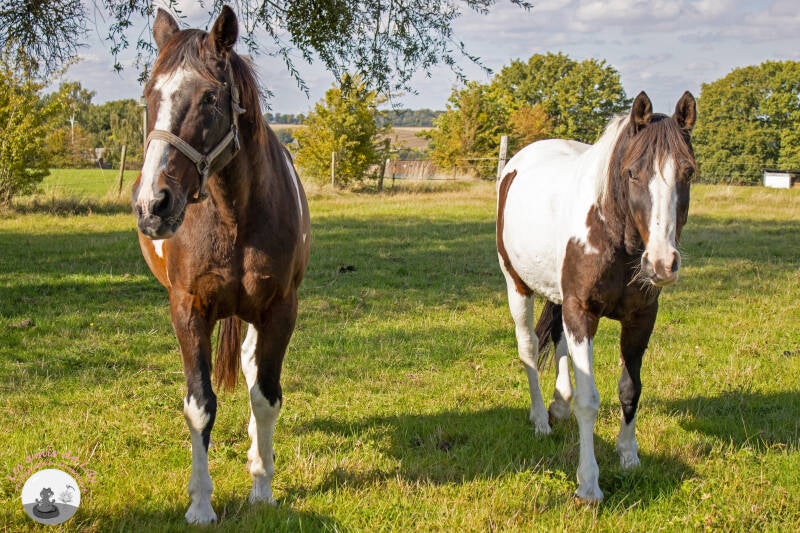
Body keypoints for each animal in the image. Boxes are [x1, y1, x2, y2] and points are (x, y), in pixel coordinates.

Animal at [131, 7, 310, 523]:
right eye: (150, 94)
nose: (152, 205)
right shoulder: (188, 309)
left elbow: (266, 396)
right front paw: (200, 504)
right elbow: (200, 405)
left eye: (210, 97)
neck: (233, 214)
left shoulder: (279, 311)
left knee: (251, 369)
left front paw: (262, 488)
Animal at [496, 91, 696, 501]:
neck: (613, 234)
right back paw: (540, 419)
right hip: (517, 285)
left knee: (558, 343)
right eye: (633, 172)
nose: (662, 263)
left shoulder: (640, 318)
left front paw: (629, 455)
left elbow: (630, 389)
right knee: (528, 348)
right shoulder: (582, 311)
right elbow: (588, 401)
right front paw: (588, 484)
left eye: (688, 172)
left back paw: (558, 404)